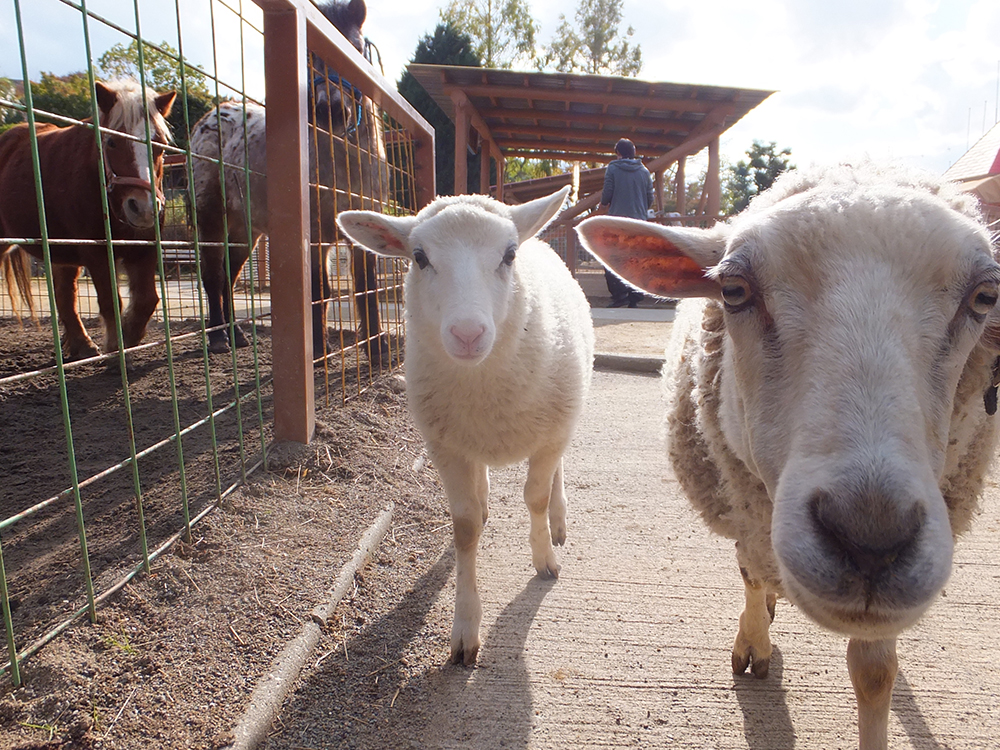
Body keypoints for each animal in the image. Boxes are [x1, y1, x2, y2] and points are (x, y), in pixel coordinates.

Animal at [0, 78, 176, 362]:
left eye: (159, 144)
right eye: (112, 142)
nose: (144, 208)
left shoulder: (144, 249)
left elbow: (147, 300)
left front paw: (130, 336)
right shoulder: (96, 252)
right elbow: (110, 301)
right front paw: (116, 345)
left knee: (64, 295)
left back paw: (81, 345)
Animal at [189, 0, 388, 362]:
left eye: (355, 49)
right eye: (306, 54)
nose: (330, 112)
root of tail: (210, 117)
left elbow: (366, 286)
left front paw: (377, 349)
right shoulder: (315, 235)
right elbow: (319, 289)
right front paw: (319, 350)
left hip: (245, 231)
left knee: (229, 278)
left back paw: (237, 335)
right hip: (212, 219)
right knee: (212, 276)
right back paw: (218, 338)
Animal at [340, 187, 596, 664]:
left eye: (509, 254)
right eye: (419, 257)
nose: (467, 334)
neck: (483, 386)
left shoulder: (552, 432)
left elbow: (535, 497)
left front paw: (544, 558)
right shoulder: (444, 446)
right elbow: (465, 527)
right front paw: (464, 627)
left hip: (566, 413)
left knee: (557, 471)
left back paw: (558, 518)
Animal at [576, 166, 1000, 750]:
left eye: (985, 297)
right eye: (733, 291)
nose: (870, 542)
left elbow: (875, 672)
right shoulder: (746, 505)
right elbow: (750, 572)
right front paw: (754, 644)